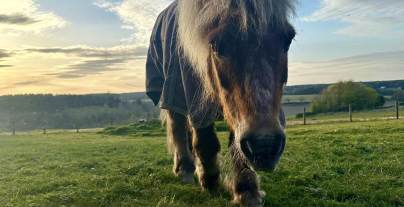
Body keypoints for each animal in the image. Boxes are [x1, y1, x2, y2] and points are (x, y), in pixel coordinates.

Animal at [147, 0, 296, 206]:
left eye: (288, 39)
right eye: (216, 45)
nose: (265, 145)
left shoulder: (237, 112)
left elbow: (235, 145)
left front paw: (247, 190)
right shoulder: (194, 99)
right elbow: (206, 140)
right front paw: (210, 181)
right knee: (178, 127)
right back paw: (185, 169)